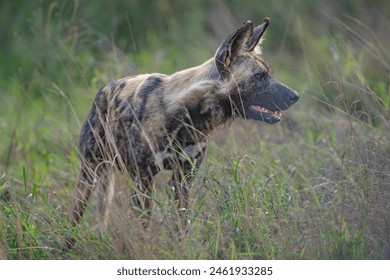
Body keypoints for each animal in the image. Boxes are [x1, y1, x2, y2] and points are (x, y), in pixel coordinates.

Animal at [70, 18, 300, 236]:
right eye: (258, 77)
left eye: (269, 74)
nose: (296, 96)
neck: (186, 116)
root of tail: (103, 90)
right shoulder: (143, 180)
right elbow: (145, 228)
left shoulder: (182, 180)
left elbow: (182, 225)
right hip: (89, 175)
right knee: (73, 220)